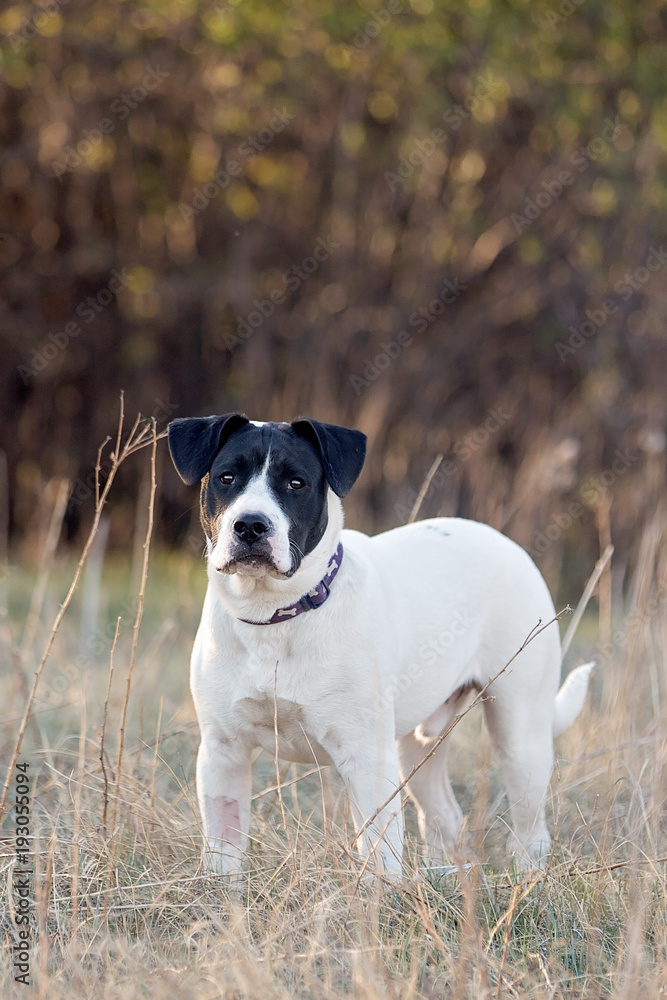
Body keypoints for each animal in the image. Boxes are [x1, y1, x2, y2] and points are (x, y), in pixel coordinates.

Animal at [168, 412, 596, 876]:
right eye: (226, 477)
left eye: (296, 483)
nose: (250, 524)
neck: (274, 615)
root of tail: (504, 541)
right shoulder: (223, 754)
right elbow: (223, 855)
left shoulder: (367, 758)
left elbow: (379, 856)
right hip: (417, 746)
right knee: (444, 814)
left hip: (520, 734)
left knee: (531, 828)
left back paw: (526, 877)